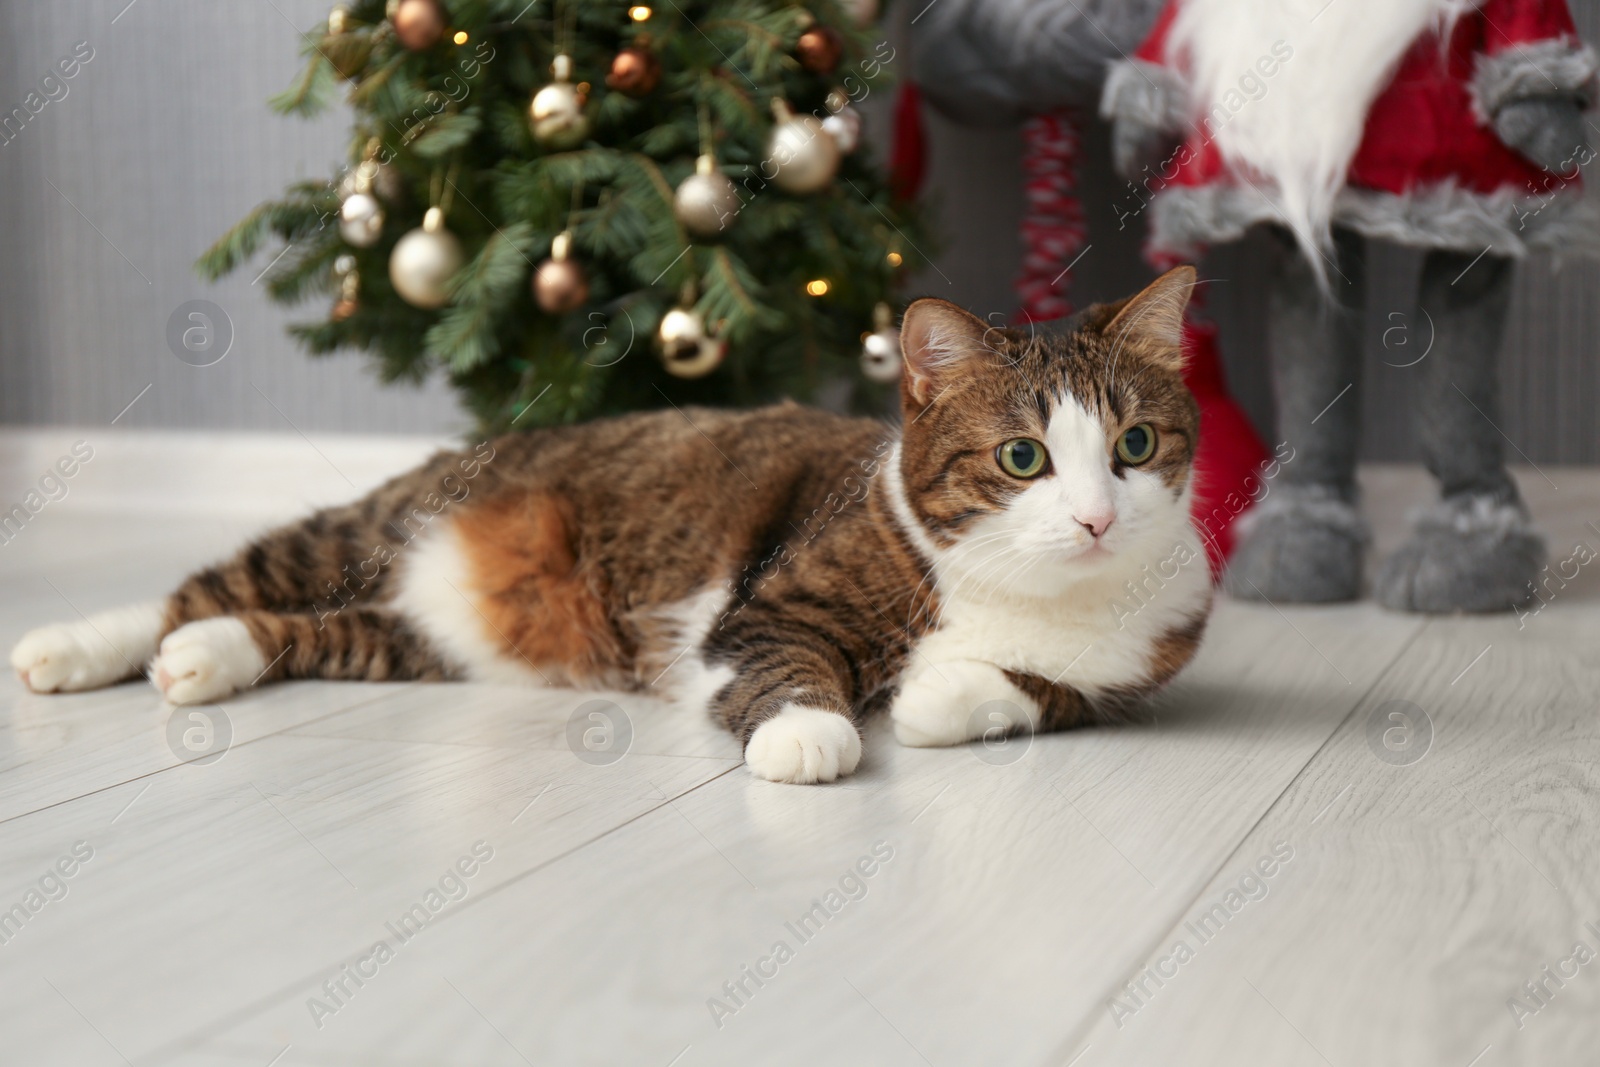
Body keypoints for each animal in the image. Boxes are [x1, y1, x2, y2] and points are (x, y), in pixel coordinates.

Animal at [9, 267, 1209, 783]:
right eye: (1022, 458)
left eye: (1136, 444)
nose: (1096, 518)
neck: (1022, 586)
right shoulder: (763, 606)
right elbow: (786, 663)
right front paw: (809, 732)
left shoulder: (1140, 662)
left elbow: (1043, 692)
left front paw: (938, 694)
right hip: (377, 524)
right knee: (212, 582)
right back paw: (72, 646)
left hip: (440, 638)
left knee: (313, 628)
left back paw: (201, 659)